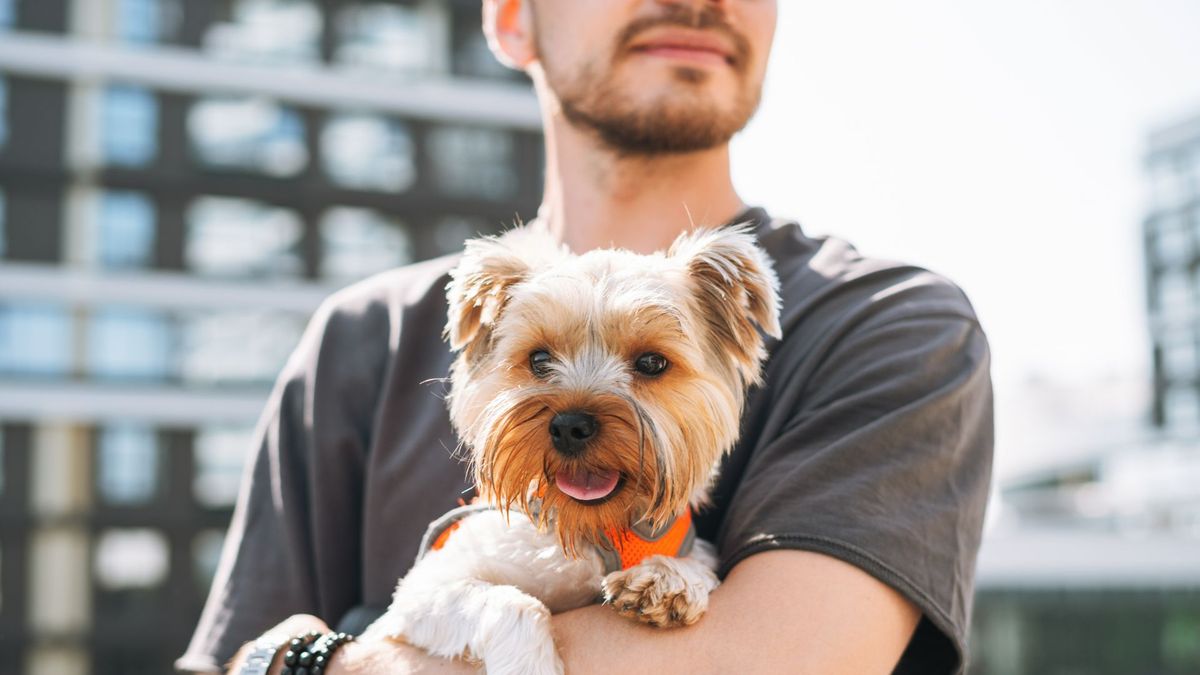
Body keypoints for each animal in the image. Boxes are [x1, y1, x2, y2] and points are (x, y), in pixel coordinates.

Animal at [360, 220, 782, 672]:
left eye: (652, 362)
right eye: (539, 359)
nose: (569, 426)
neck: (589, 529)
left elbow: (696, 566)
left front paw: (668, 578)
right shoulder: (421, 594)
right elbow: (515, 604)